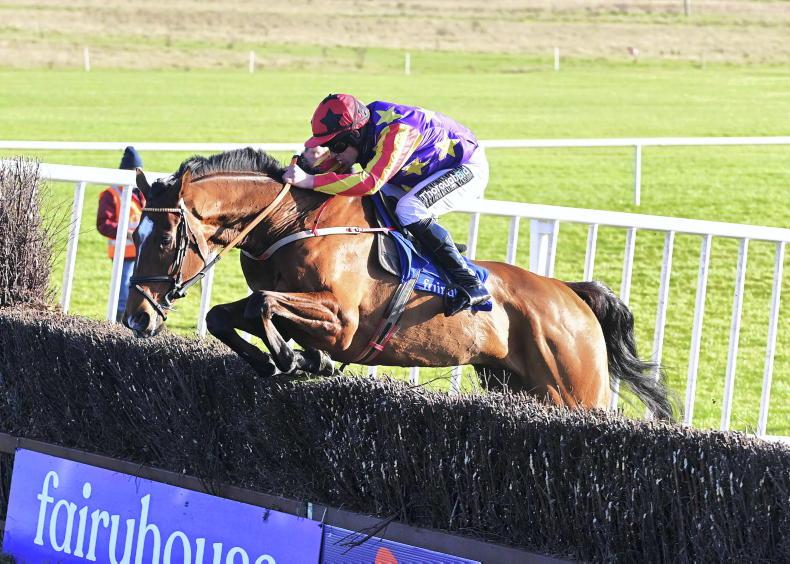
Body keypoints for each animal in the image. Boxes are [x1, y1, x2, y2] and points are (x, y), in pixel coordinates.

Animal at [125, 148, 673, 419]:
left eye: (166, 237)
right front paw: (276, 359)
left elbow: (264, 304)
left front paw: (297, 359)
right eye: (134, 234)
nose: (137, 317)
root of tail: (570, 295)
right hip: (517, 385)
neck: (290, 223)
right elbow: (226, 313)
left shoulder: (343, 323)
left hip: (576, 390)